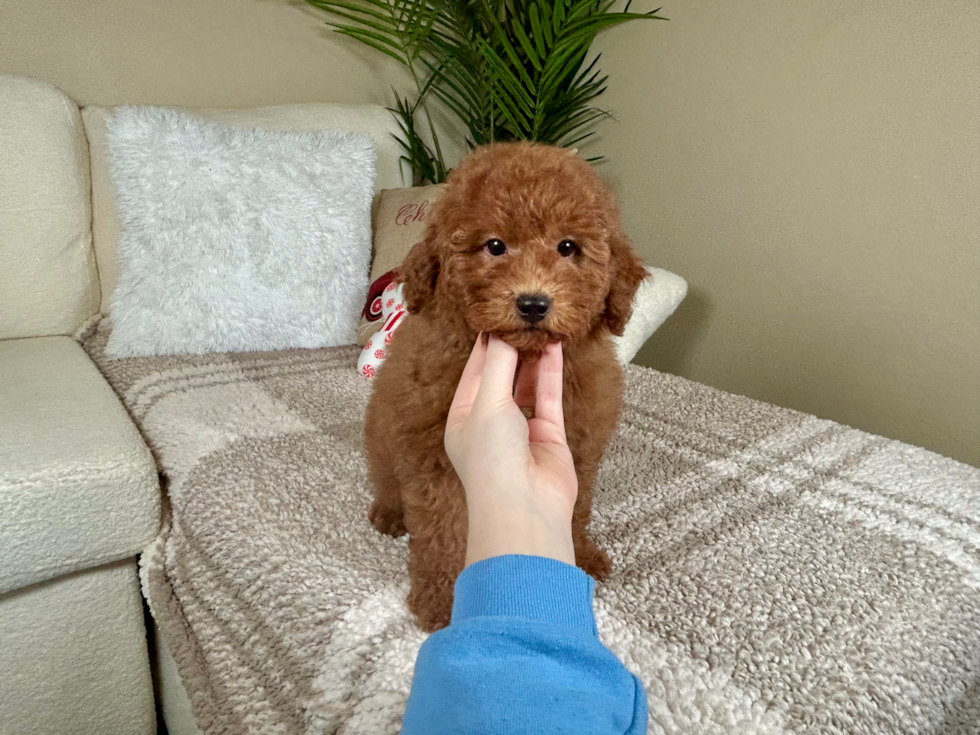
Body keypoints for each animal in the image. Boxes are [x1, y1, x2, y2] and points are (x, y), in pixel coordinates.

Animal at [364, 144, 648, 632]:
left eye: (567, 247)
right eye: (494, 246)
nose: (533, 303)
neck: (525, 361)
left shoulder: (578, 445)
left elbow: (573, 507)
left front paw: (580, 555)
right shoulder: (434, 451)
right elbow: (444, 528)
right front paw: (444, 600)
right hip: (383, 432)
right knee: (386, 478)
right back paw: (389, 512)